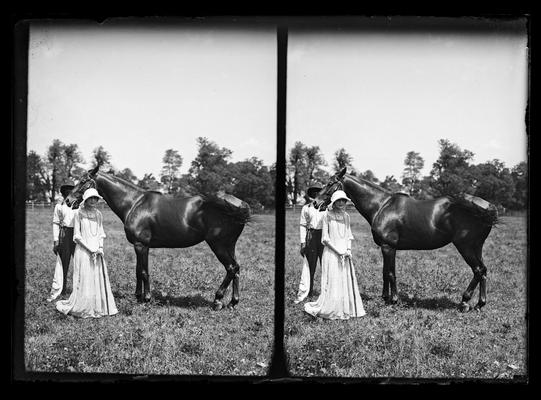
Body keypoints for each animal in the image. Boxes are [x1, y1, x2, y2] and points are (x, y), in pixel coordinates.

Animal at [64, 166, 250, 310]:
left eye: (84, 181)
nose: (67, 200)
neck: (134, 203)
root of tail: (238, 205)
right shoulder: (138, 246)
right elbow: (138, 271)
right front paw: (138, 296)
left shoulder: (141, 245)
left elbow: (144, 272)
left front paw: (146, 299)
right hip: (229, 246)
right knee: (237, 269)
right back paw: (233, 303)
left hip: (218, 245)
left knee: (231, 268)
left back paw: (218, 300)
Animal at [312, 167, 498, 310]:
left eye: (330, 183)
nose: (315, 202)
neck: (381, 205)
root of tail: (486, 207)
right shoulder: (385, 247)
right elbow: (384, 272)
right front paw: (385, 298)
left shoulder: (389, 247)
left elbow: (391, 273)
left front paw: (393, 300)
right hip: (476, 247)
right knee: (484, 271)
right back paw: (480, 304)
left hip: (465, 246)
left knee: (478, 270)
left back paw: (465, 302)